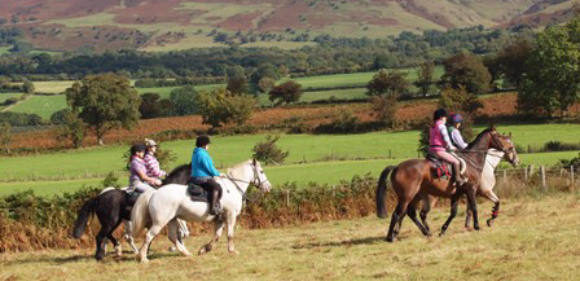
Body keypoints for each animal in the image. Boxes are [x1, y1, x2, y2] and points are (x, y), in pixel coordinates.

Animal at [131, 160, 272, 262]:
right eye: (261, 171)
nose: (269, 187)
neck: (233, 187)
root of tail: (155, 192)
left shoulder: (220, 219)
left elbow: (217, 236)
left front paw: (204, 249)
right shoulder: (230, 216)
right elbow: (230, 235)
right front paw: (232, 251)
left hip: (172, 219)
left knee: (172, 236)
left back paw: (186, 253)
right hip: (160, 222)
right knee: (149, 236)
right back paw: (143, 258)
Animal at [376, 127, 508, 241]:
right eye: (498, 136)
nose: (506, 148)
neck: (472, 160)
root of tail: (397, 167)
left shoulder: (457, 194)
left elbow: (453, 213)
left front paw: (443, 230)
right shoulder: (471, 189)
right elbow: (474, 208)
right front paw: (477, 226)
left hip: (415, 196)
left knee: (411, 213)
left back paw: (426, 232)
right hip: (406, 197)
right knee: (397, 214)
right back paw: (390, 237)